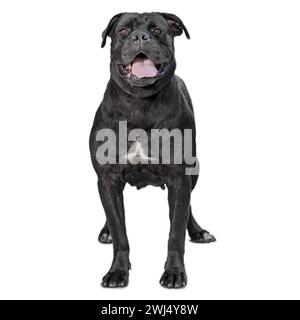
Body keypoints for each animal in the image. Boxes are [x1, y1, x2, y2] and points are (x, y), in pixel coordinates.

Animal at [89, 12, 216, 288]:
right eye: (123, 31)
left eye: (157, 30)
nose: (140, 37)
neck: (139, 103)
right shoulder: (108, 178)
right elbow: (120, 232)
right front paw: (117, 271)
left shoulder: (180, 179)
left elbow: (175, 233)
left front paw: (175, 273)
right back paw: (105, 231)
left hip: (195, 171)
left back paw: (197, 231)